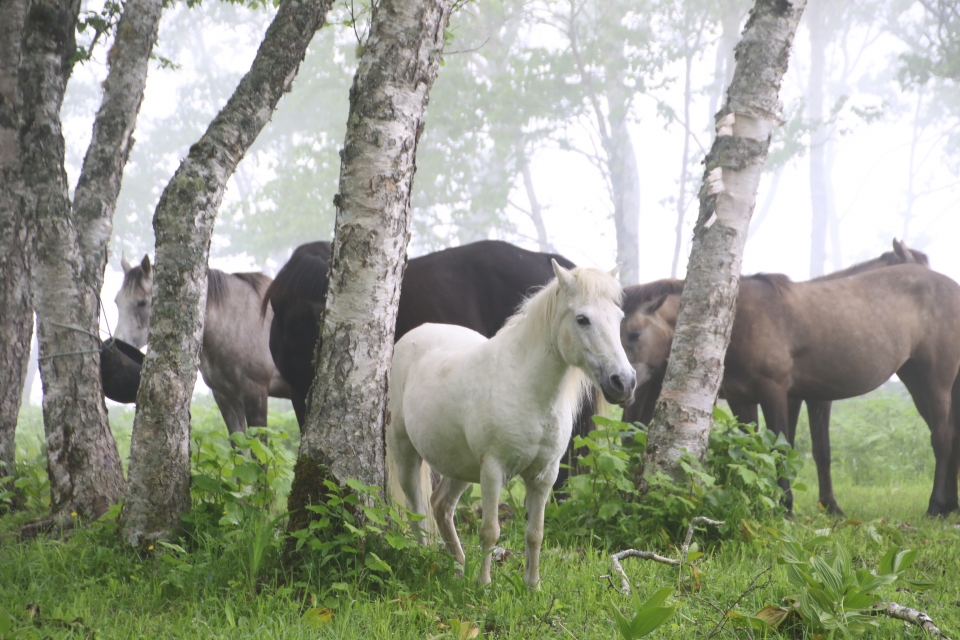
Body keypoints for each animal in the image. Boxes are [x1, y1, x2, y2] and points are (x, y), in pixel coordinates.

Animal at [114, 254, 292, 435]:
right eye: (117, 301)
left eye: (142, 302)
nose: (118, 343)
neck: (238, 321)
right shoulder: (226, 397)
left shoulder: (255, 394)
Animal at [387, 262, 636, 587]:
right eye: (582, 319)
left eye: (619, 318)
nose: (624, 382)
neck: (526, 389)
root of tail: (412, 338)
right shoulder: (494, 471)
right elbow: (490, 531)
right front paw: (484, 586)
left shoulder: (544, 476)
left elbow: (535, 533)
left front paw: (533, 585)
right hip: (406, 453)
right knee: (418, 509)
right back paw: (425, 558)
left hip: (461, 466)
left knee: (441, 507)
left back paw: (459, 568)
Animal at [621, 244, 960, 517]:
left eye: (634, 334)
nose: (624, 382)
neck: (741, 318)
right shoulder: (744, 398)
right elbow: (757, 448)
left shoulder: (780, 393)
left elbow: (783, 448)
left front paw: (786, 505)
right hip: (917, 380)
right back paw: (948, 505)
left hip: (935, 380)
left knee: (943, 436)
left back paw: (936, 505)